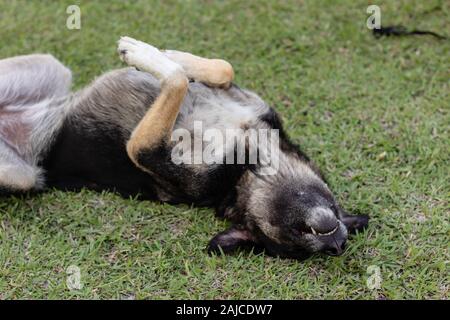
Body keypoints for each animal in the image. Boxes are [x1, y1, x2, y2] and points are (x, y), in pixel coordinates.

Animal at [0, 36, 370, 258]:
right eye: (336, 213)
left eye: (300, 238)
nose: (336, 241)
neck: (246, 167)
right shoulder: (246, 102)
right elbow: (222, 68)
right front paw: (169, 55)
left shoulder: (143, 149)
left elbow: (176, 81)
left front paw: (147, 55)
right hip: (48, 68)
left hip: (20, 177)